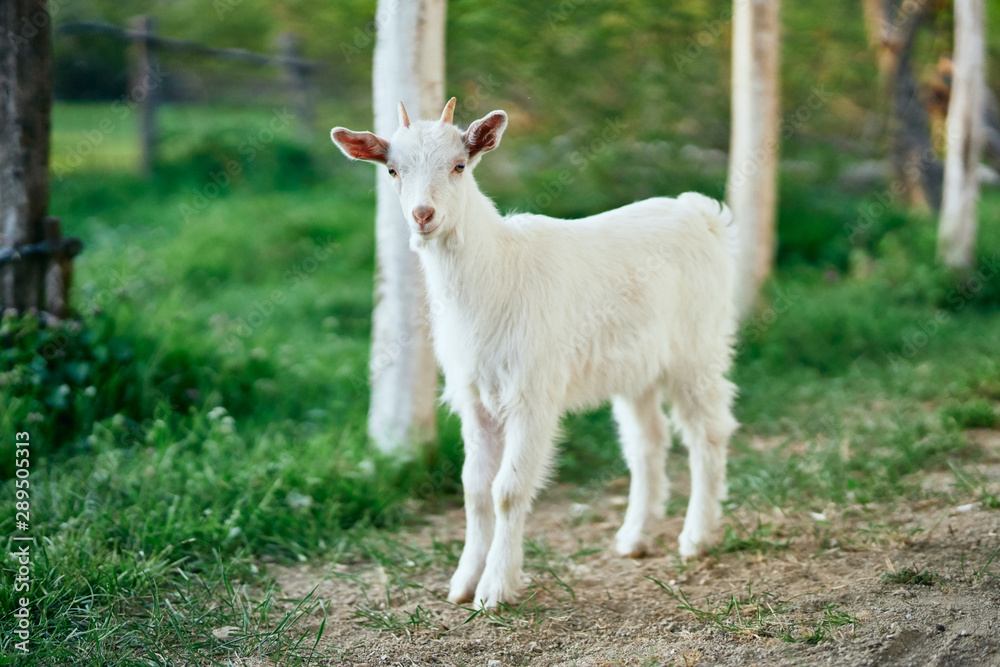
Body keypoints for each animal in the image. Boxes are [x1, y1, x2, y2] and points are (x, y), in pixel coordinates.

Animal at [332, 98, 740, 612]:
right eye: (391, 170)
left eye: (460, 165)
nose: (423, 215)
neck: (498, 270)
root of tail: (700, 212)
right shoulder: (476, 396)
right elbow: (474, 489)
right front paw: (463, 582)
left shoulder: (532, 392)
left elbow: (507, 490)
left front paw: (494, 589)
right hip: (636, 367)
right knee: (647, 440)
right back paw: (635, 537)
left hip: (697, 349)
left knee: (708, 433)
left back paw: (696, 537)